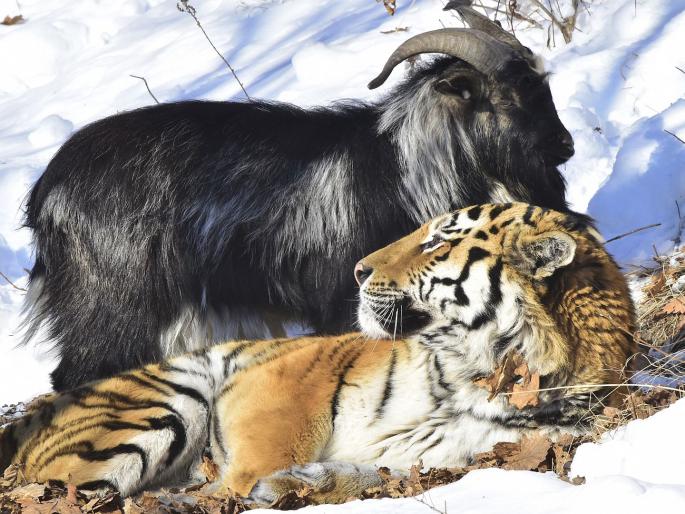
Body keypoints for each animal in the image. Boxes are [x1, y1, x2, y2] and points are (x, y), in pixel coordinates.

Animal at [0, 203, 635, 505]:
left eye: (437, 241)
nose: (358, 269)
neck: (475, 372)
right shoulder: (290, 376)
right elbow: (264, 453)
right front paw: (248, 490)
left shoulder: (464, 454)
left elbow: (368, 476)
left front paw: (300, 485)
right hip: (163, 403)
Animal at [23, 5, 574, 390]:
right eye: (509, 96)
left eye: (543, 86)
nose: (566, 146)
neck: (408, 167)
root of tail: (46, 197)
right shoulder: (347, 297)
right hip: (113, 305)